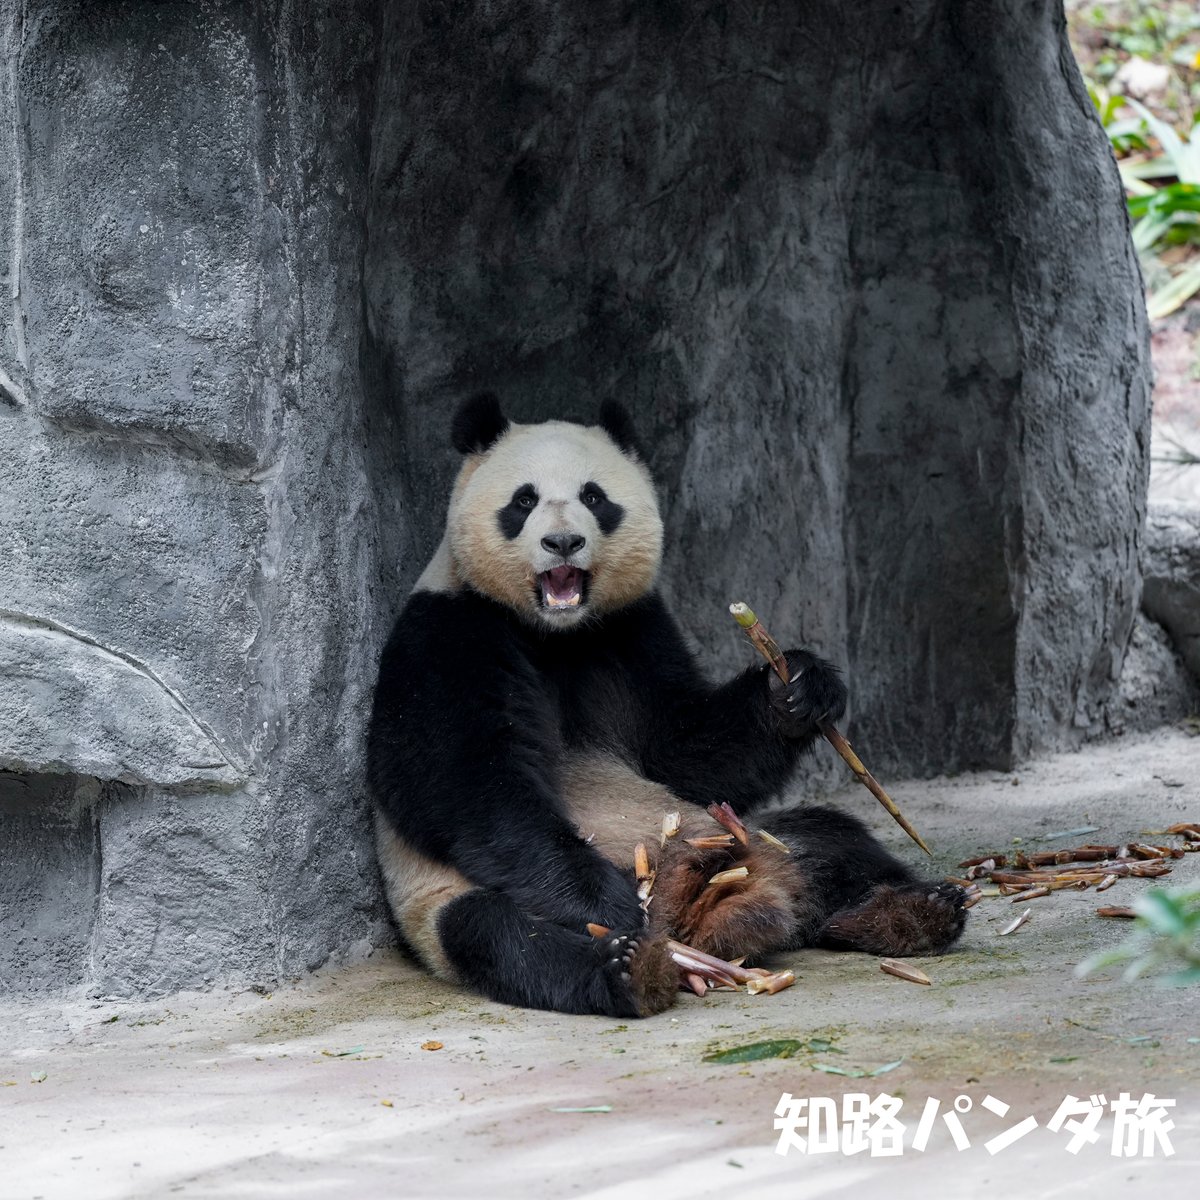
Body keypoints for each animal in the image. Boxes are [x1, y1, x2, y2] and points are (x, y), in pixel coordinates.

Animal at [367, 394, 968, 1018]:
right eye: (524, 501)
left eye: (594, 497)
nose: (563, 543)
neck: (558, 634)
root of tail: (700, 911)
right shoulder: (449, 633)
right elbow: (458, 781)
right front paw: (607, 902)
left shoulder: (633, 628)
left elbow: (685, 751)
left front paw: (798, 688)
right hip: (449, 901)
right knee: (506, 936)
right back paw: (632, 966)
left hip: (740, 835)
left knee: (831, 839)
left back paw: (911, 912)